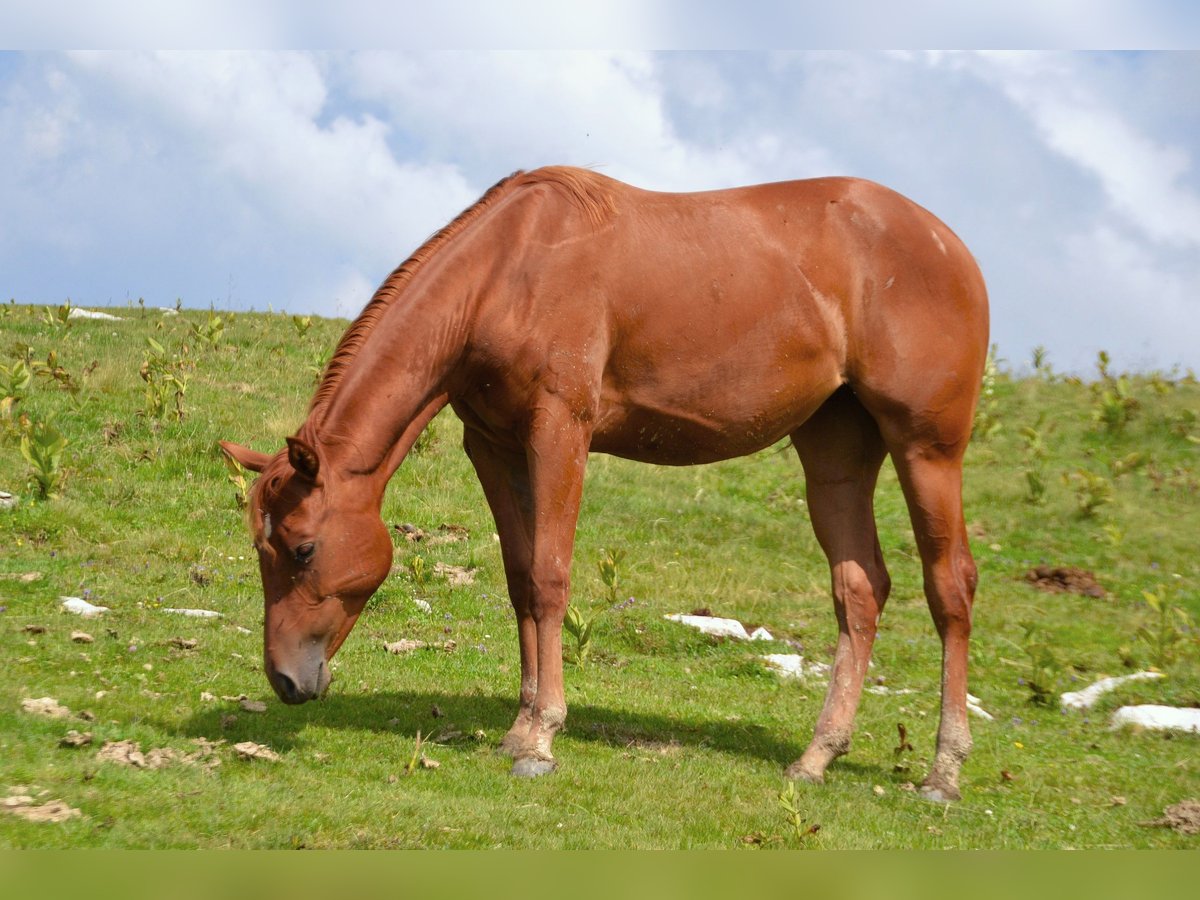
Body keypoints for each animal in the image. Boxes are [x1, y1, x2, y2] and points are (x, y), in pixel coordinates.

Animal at [220, 168, 988, 801]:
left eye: (303, 549)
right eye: (262, 549)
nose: (285, 679)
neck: (510, 269)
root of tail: (953, 247)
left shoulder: (560, 430)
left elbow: (551, 576)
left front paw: (541, 739)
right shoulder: (494, 444)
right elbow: (522, 578)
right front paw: (519, 724)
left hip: (927, 449)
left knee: (950, 586)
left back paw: (943, 772)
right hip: (835, 450)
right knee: (859, 589)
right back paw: (817, 756)